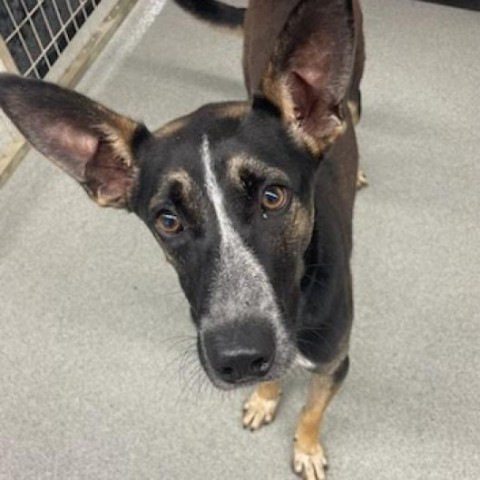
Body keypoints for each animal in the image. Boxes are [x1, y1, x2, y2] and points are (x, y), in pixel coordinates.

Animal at [0, 0, 366, 480]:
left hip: (352, 92)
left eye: (273, 196)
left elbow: (312, 410)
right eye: (168, 221)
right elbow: (277, 378)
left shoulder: (334, 363)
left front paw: (305, 447)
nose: (239, 359)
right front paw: (265, 398)